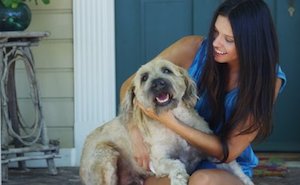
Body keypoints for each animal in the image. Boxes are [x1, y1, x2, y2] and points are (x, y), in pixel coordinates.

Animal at [79, 58, 253, 184]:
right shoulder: (158, 161)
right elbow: (176, 164)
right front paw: (179, 179)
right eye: (144, 78)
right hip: (105, 156)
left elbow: (236, 168)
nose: (158, 83)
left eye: (166, 70)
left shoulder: (216, 154)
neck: (176, 120)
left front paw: (246, 180)